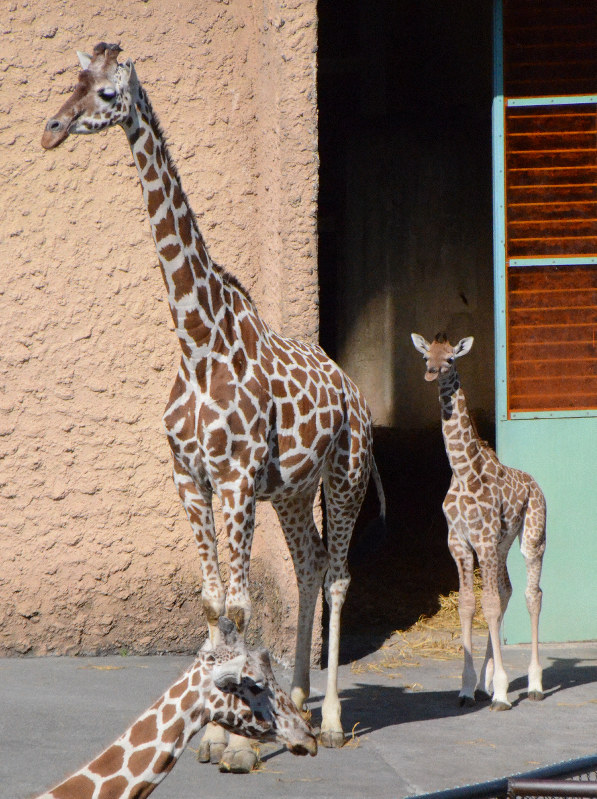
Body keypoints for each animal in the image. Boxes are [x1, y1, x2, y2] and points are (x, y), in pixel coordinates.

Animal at [42, 43, 386, 768]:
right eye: (74, 80)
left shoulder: (233, 478)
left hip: (344, 476)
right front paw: (227, 722)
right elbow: (210, 604)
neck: (197, 340)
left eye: (109, 94)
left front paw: (236, 742)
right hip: (292, 491)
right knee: (310, 563)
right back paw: (299, 697)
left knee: (339, 575)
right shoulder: (189, 476)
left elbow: (238, 603)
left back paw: (331, 720)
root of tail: (353, 389)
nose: (52, 129)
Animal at [410, 334, 544, 708]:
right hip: (501, 545)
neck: (463, 471)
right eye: (426, 356)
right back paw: (487, 682)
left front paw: (501, 692)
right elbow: (470, 604)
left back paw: (534, 684)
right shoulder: (459, 542)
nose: (431, 372)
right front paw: (469, 688)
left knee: (531, 594)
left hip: (531, 538)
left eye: (451, 359)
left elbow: (490, 605)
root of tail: (535, 484)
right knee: (507, 590)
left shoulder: (481, 539)